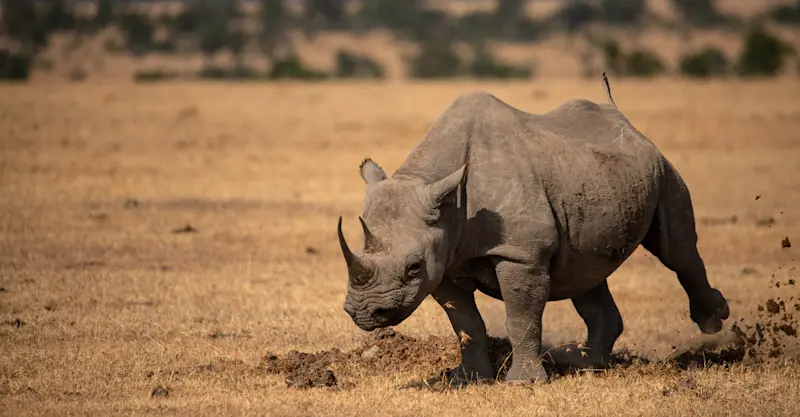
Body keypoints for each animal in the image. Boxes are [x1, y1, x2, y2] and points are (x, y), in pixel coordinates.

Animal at [337, 74, 729, 384]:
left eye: (412, 267)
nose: (364, 314)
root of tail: (625, 120)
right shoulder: (444, 261)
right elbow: (465, 323)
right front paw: (468, 379)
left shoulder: (521, 253)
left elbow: (520, 316)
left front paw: (523, 383)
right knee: (583, 274)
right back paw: (587, 364)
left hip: (661, 167)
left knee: (676, 250)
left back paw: (713, 323)